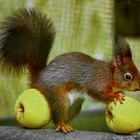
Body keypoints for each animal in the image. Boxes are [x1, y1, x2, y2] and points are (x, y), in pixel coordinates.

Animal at [0, 8, 140, 133]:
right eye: (128, 76)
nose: (138, 88)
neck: (110, 74)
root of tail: (39, 78)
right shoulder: (98, 81)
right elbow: (98, 93)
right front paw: (116, 96)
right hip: (58, 95)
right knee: (57, 113)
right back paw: (62, 125)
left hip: (75, 105)